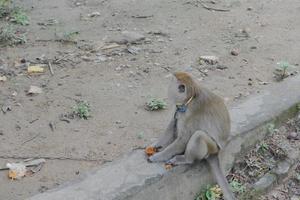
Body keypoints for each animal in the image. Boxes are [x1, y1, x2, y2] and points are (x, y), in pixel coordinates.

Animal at [148, 72, 237, 200]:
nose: (167, 89)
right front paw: (157, 146)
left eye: (171, 84)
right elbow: (173, 124)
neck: (188, 101)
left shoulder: (192, 115)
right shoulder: (179, 110)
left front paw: (157, 157)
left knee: (198, 135)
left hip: (212, 147)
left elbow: (183, 140)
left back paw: (186, 159)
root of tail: (216, 152)